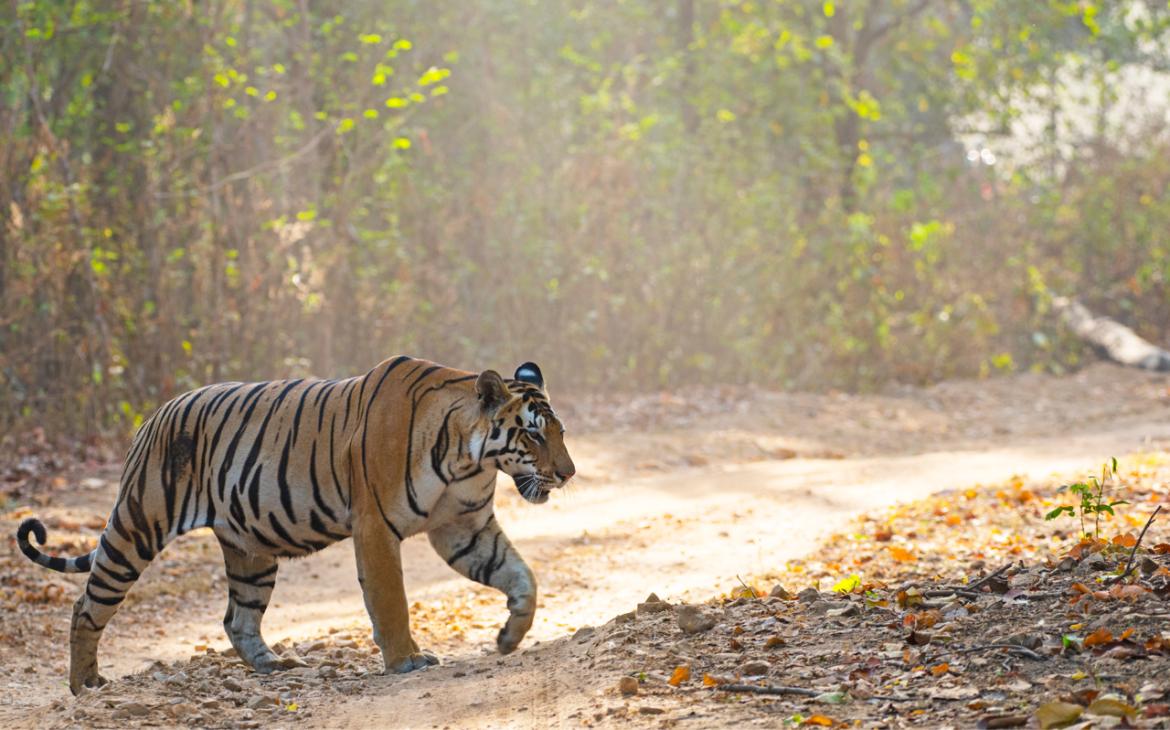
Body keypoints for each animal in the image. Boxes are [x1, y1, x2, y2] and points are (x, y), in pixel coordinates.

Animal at [15, 356, 575, 695]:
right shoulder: (375, 527)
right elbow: (391, 599)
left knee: (238, 619)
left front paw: (510, 635)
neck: (469, 456)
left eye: (561, 432)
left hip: (251, 550)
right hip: (137, 526)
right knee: (87, 606)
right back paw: (85, 684)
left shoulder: (463, 528)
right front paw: (406, 661)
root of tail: (153, 416)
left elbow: (521, 575)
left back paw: (275, 665)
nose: (568, 473)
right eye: (533, 435)